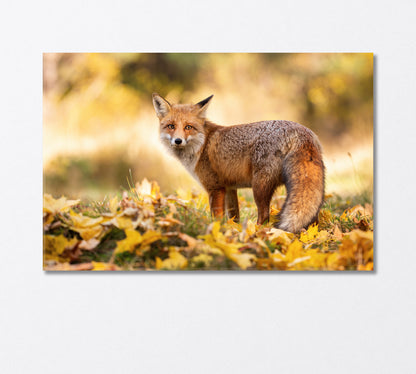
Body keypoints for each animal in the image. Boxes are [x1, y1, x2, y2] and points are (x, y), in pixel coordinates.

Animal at [153, 93, 324, 232]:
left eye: (188, 127)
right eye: (171, 126)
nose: (178, 140)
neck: (202, 145)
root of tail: (301, 131)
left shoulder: (215, 188)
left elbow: (216, 217)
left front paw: (218, 231)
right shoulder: (229, 188)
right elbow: (234, 216)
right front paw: (232, 230)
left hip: (259, 187)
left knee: (264, 215)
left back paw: (256, 233)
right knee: (312, 216)